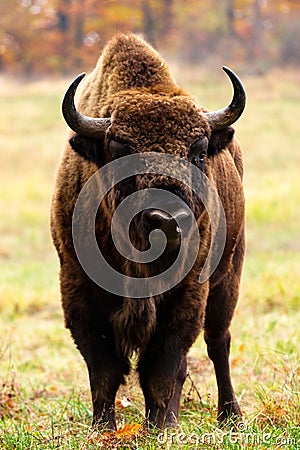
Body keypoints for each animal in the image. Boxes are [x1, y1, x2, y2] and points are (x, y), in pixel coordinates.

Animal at [49, 32, 246, 428]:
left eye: (199, 151)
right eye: (118, 150)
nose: (167, 220)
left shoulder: (188, 294)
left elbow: (163, 367)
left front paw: (161, 426)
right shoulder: (78, 290)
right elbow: (103, 369)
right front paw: (103, 428)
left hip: (230, 276)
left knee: (218, 342)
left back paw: (229, 416)